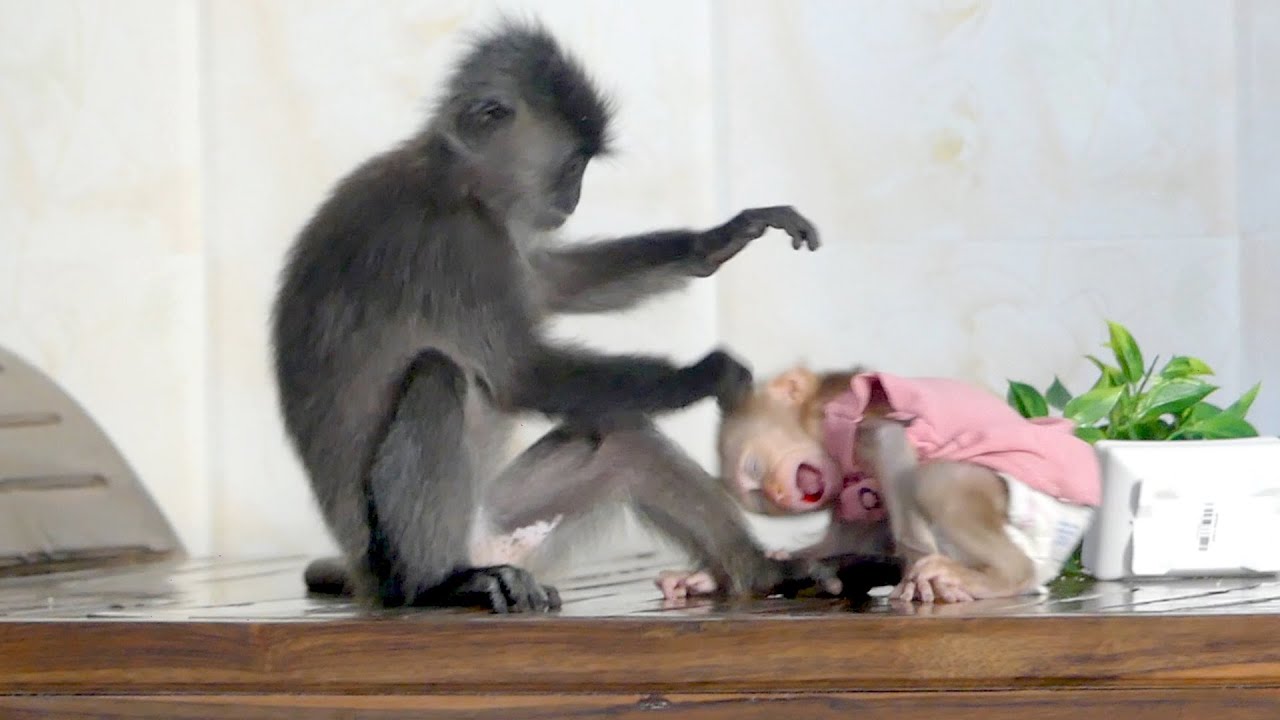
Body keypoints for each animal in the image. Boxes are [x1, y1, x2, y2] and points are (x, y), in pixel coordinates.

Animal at [270, 20, 839, 614]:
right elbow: (520, 375)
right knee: (438, 375)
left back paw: (767, 574)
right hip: (393, 557)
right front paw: (706, 374)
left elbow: (551, 283)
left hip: (509, 519)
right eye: (571, 165)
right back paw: (440, 583)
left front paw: (715, 242)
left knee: (625, 444)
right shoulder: (457, 242)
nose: (574, 196)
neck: (455, 182)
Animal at [656, 366, 1102, 604]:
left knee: (935, 481)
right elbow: (850, 532)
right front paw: (709, 577)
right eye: (759, 498)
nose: (778, 493)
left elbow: (890, 445)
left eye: (753, 469)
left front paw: (911, 581)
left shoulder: (851, 426)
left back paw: (1005, 576)